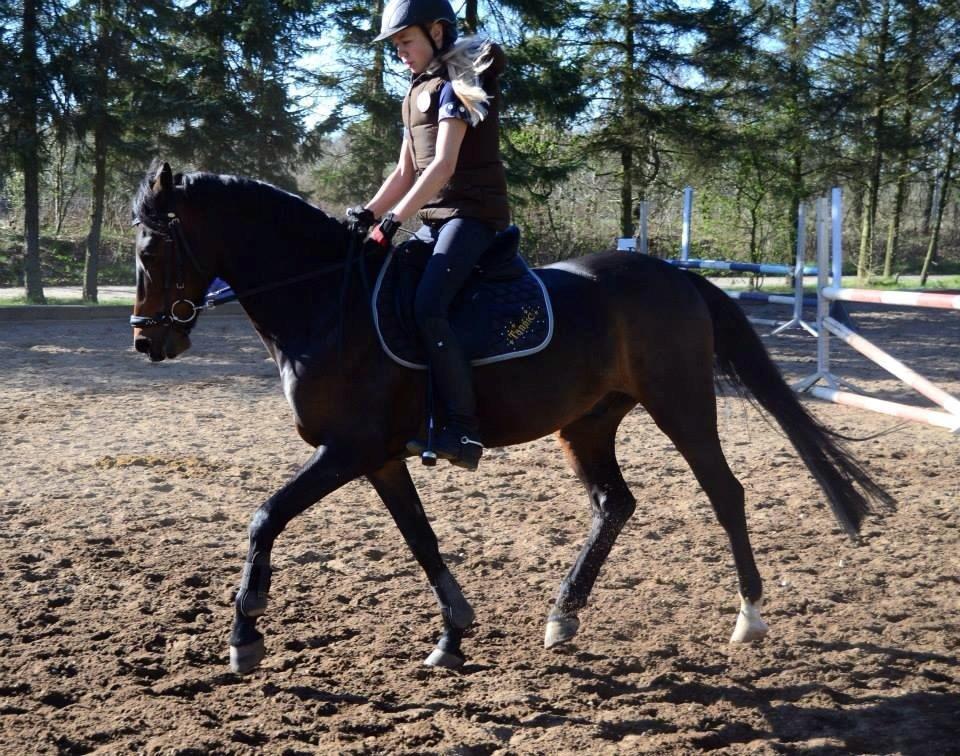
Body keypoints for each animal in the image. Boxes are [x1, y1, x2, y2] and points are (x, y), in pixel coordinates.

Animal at [131, 164, 896, 672]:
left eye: (152, 248)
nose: (147, 342)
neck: (326, 302)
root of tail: (676, 276)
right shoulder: (379, 458)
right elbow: (420, 539)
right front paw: (452, 633)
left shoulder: (349, 449)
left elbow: (266, 516)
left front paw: (245, 634)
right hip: (586, 424)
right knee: (615, 503)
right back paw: (563, 614)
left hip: (680, 405)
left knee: (725, 493)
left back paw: (749, 617)